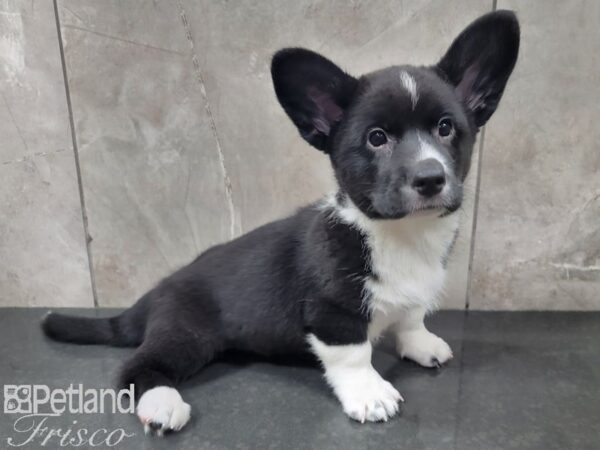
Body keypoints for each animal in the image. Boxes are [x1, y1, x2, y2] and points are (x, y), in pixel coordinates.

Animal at [43, 9, 520, 432]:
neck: (399, 234)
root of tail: (158, 291)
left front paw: (420, 344)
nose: (430, 178)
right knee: (136, 367)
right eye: (376, 138)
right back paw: (161, 403)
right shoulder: (332, 312)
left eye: (446, 128)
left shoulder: (410, 297)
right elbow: (353, 354)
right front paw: (370, 394)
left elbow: (410, 317)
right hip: (186, 333)